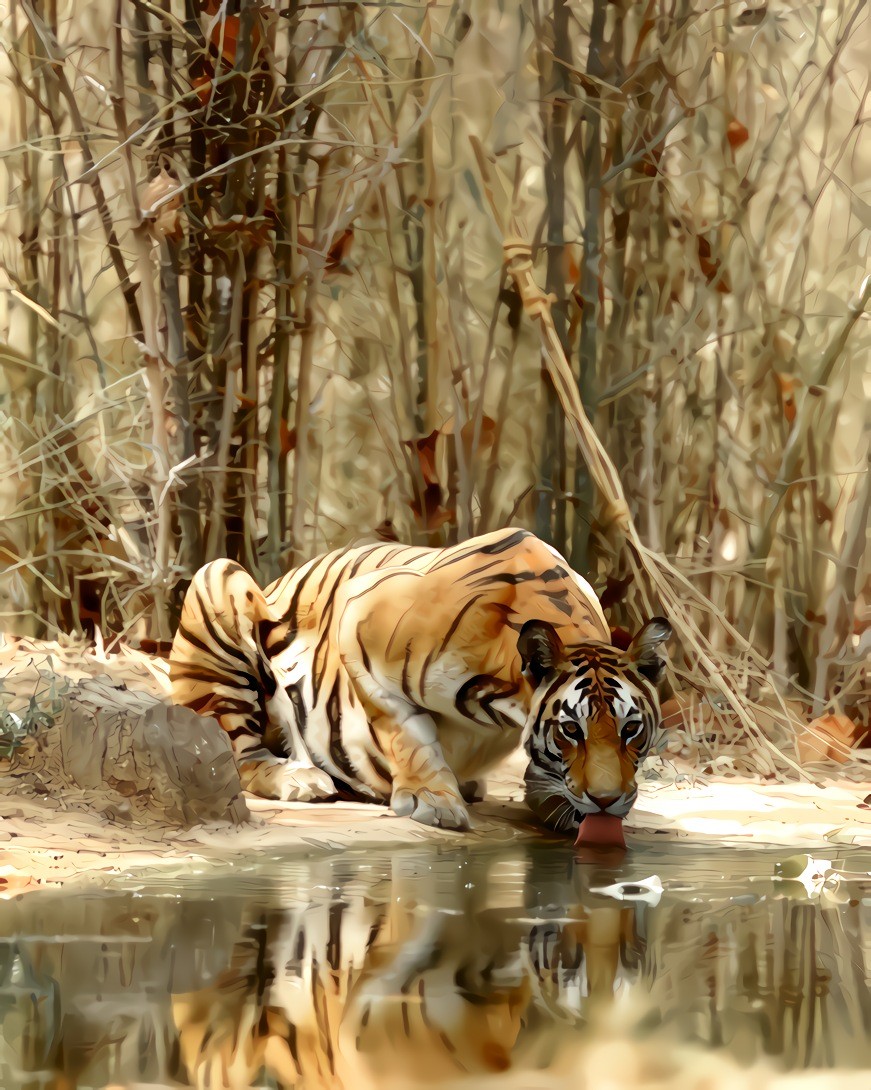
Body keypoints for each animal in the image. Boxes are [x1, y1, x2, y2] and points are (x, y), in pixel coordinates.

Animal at [170, 525, 675, 824]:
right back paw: (299, 778)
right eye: (571, 730)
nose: (607, 801)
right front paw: (432, 799)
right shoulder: (358, 622)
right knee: (237, 754)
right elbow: (405, 732)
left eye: (631, 729)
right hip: (219, 580)